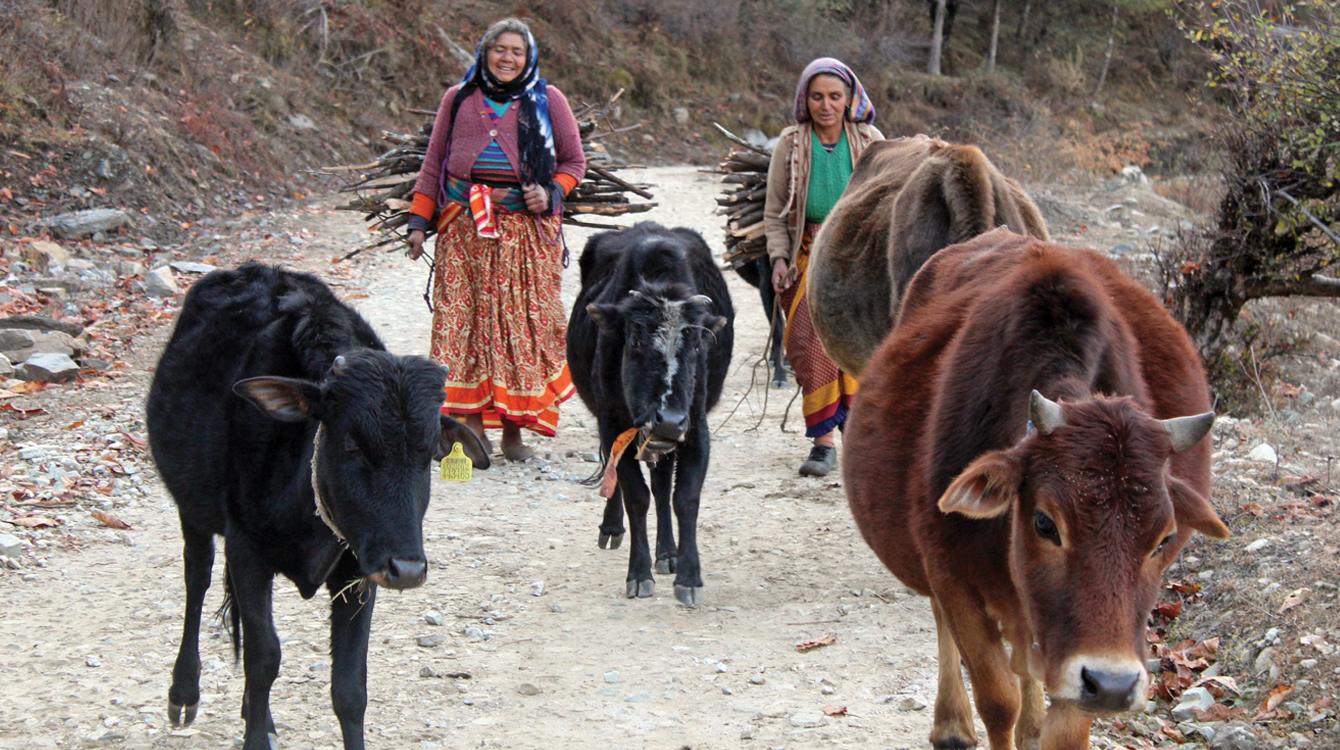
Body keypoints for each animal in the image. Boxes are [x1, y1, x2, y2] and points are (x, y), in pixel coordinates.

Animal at [146, 262, 489, 750]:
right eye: (352, 445)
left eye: (427, 454)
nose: (407, 570)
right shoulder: (247, 552)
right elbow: (263, 659)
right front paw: (252, 734)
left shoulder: (358, 572)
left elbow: (349, 688)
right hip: (190, 508)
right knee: (198, 577)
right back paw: (184, 692)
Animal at [567, 222, 734, 607]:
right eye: (636, 342)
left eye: (697, 346)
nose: (668, 421)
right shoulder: (612, 423)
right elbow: (635, 496)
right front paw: (639, 573)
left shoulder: (695, 428)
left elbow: (683, 496)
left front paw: (687, 574)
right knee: (616, 475)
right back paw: (612, 527)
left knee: (661, 485)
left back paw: (667, 553)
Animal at [843, 229, 1229, 750]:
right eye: (1045, 523)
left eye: (1164, 539)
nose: (1112, 684)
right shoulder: (953, 577)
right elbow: (996, 698)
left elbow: (1061, 726)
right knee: (947, 629)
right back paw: (952, 724)